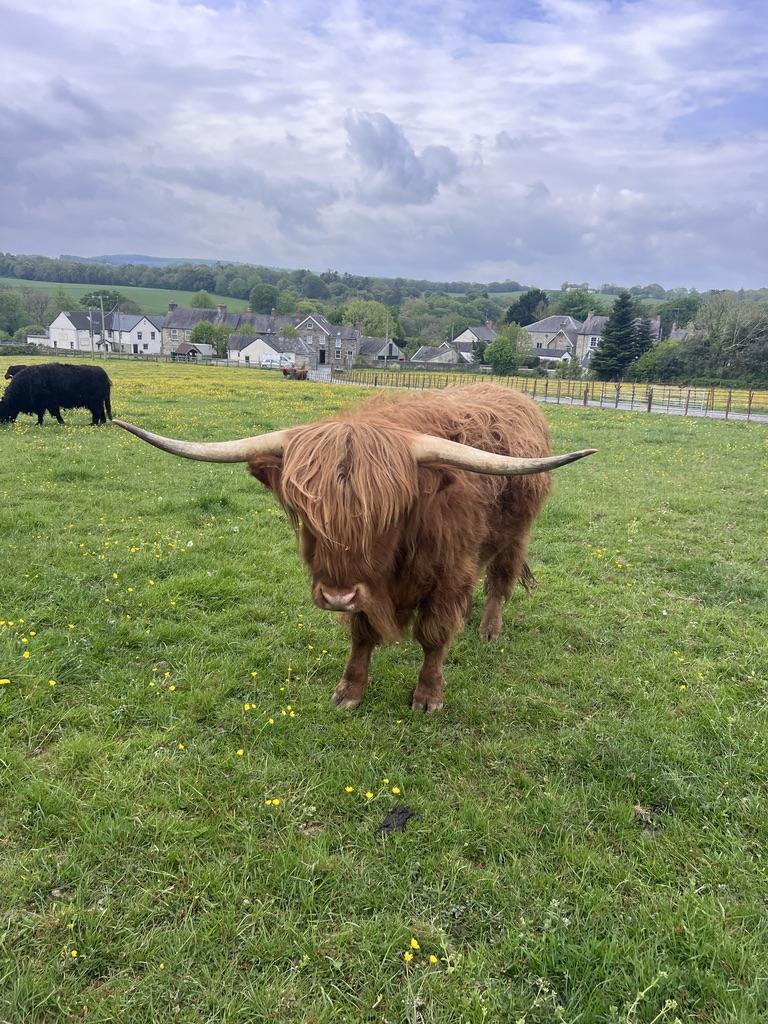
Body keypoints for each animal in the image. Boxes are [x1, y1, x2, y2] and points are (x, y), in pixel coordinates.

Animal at [115, 384, 596, 711]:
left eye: (384, 517)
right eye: (307, 515)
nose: (335, 596)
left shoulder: (448, 573)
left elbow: (433, 636)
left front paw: (428, 695)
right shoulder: (365, 589)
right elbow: (362, 635)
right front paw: (350, 690)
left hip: (516, 534)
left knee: (500, 579)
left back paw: (489, 628)